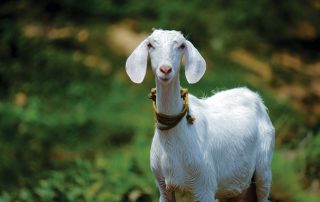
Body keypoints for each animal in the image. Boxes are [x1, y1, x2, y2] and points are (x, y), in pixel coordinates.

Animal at [125, 28, 276, 202]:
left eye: (182, 45)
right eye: (150, 44)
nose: (165, 70)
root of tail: (255, 97)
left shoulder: (205, 185)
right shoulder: (163, 187)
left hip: (264, 167)